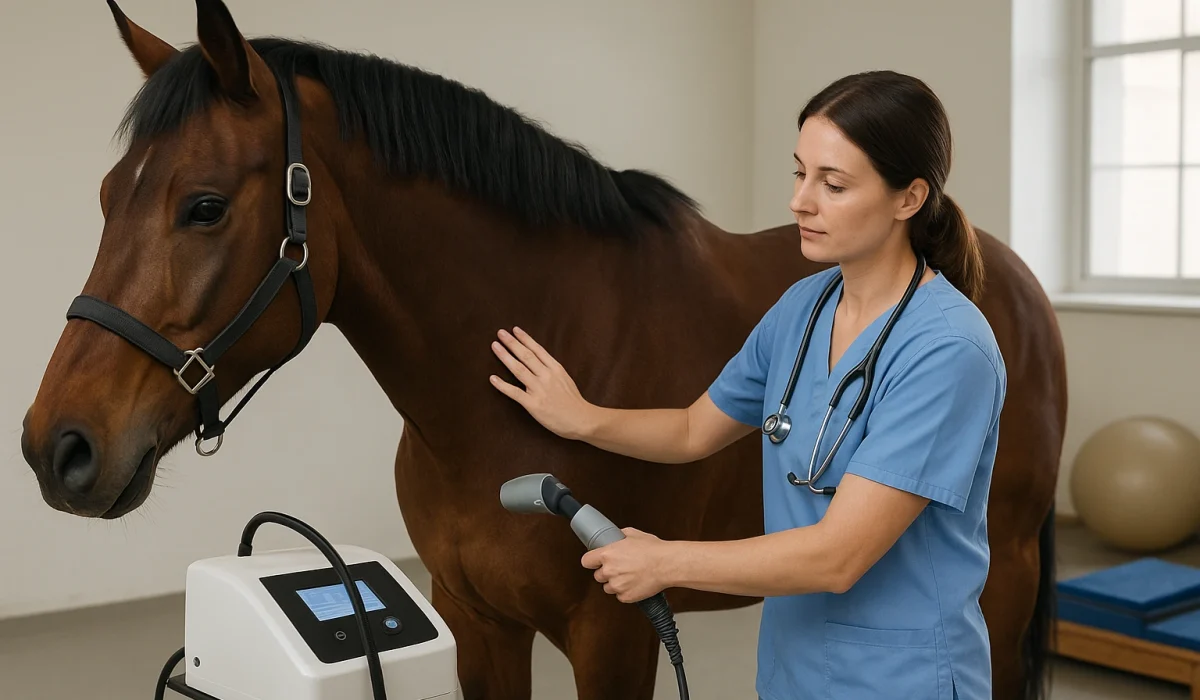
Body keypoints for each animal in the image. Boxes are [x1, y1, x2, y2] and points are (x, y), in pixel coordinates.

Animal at [19, 2, 1067, 698]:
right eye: (108, 195)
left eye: (202, 206)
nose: (55, 447)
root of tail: (1008, 276)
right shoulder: (476, 621)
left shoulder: (617, 633)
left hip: (1002, 578)